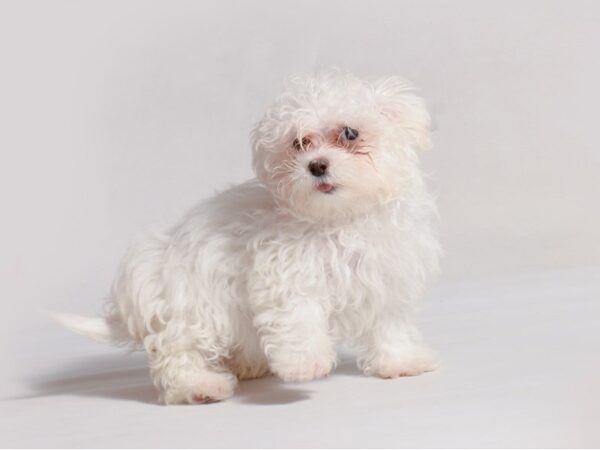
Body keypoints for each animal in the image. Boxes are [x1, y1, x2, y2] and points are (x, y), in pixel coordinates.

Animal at [57, 70, 440, 404]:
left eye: (349, 133)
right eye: (299, 143)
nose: (316, 165)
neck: (339, 219)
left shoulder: (387, 278)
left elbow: (389, 324)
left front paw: (399, 361)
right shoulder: (285, 274)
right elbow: (299, 317)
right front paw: (305, 363)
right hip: (192, 306)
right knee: (178, 354)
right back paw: (201, 386)